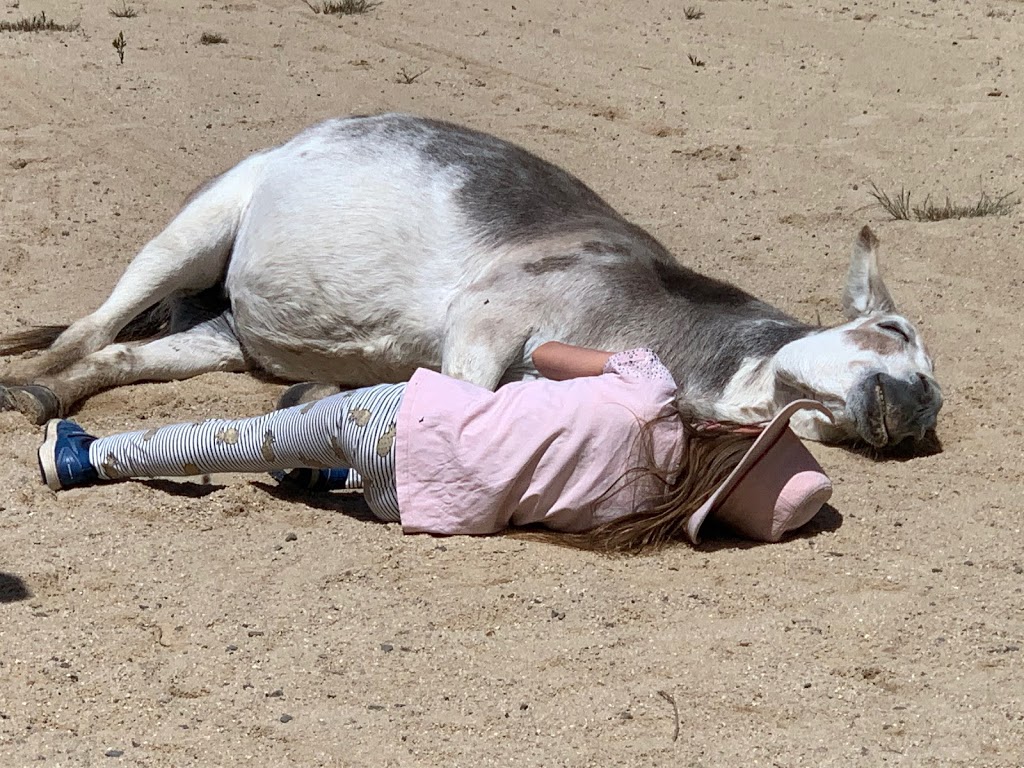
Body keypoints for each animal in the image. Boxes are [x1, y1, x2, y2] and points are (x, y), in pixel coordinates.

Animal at [0, 114, 942, 450]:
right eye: (895, 332)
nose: (916, 409)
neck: (643, 309)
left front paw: (310, 400)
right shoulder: (485, 322)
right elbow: (464, 400)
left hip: (224, 335)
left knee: (121, 358)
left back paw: (52, 398)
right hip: (198, 228)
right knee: (90, 329)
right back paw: (27, 386)